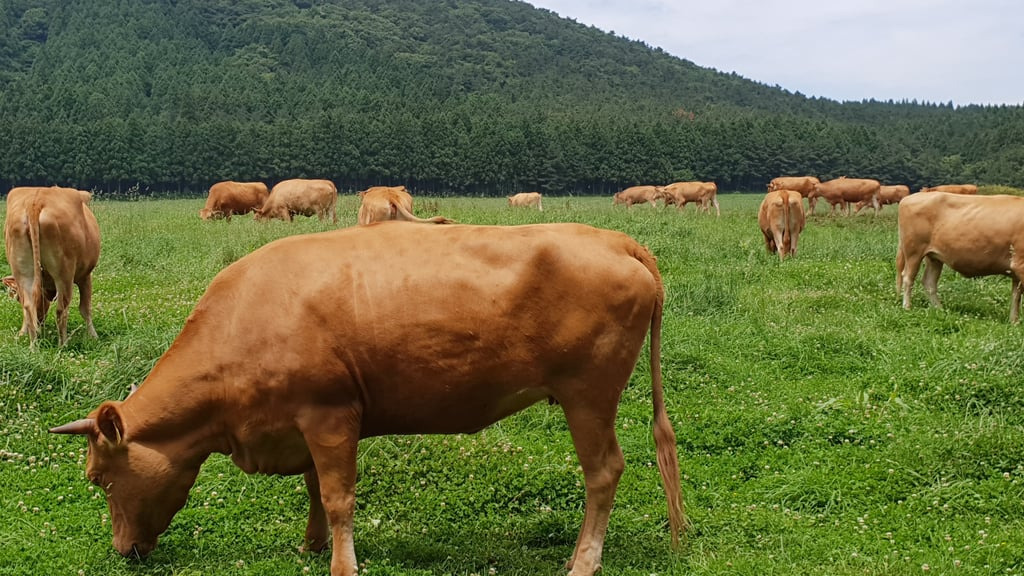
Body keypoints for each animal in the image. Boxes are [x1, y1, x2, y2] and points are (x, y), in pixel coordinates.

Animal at [2, 184, 99, 344]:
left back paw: (33, 345)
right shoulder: (85, 275)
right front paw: (93, 336)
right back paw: (63, 344)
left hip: (23, 272)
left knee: (29, 307)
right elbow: (85, 308)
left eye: (16, 298)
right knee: (61, 310)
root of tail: (35, 201)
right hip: (64, 274)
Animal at [49, 220, 688, 573]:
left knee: (604, 472)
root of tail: (614, 239)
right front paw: (310, 546)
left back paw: (583, 562)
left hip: (588, 395)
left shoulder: (330, 414)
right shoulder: (303, 423)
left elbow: (338, 497)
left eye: (99, 479)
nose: (123, 551)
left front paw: (341, 562)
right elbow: (313, 488)